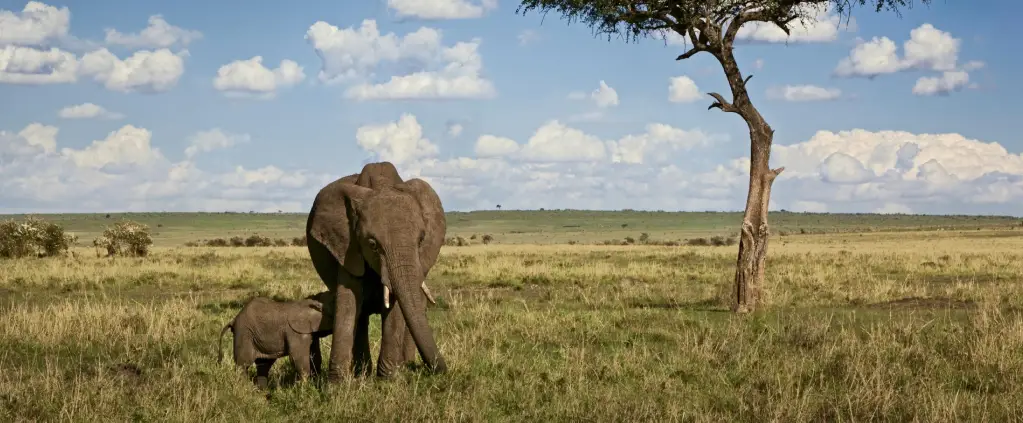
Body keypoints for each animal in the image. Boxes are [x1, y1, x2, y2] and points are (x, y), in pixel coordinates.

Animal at [302, 161, 448, 378]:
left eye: (421, 241)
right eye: (372, 244)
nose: (441, 371)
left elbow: (396, 307)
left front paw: (387, 379)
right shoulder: (347, 245)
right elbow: (348, 300)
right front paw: (336, 383)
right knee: (362, 317)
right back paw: (362, 373)